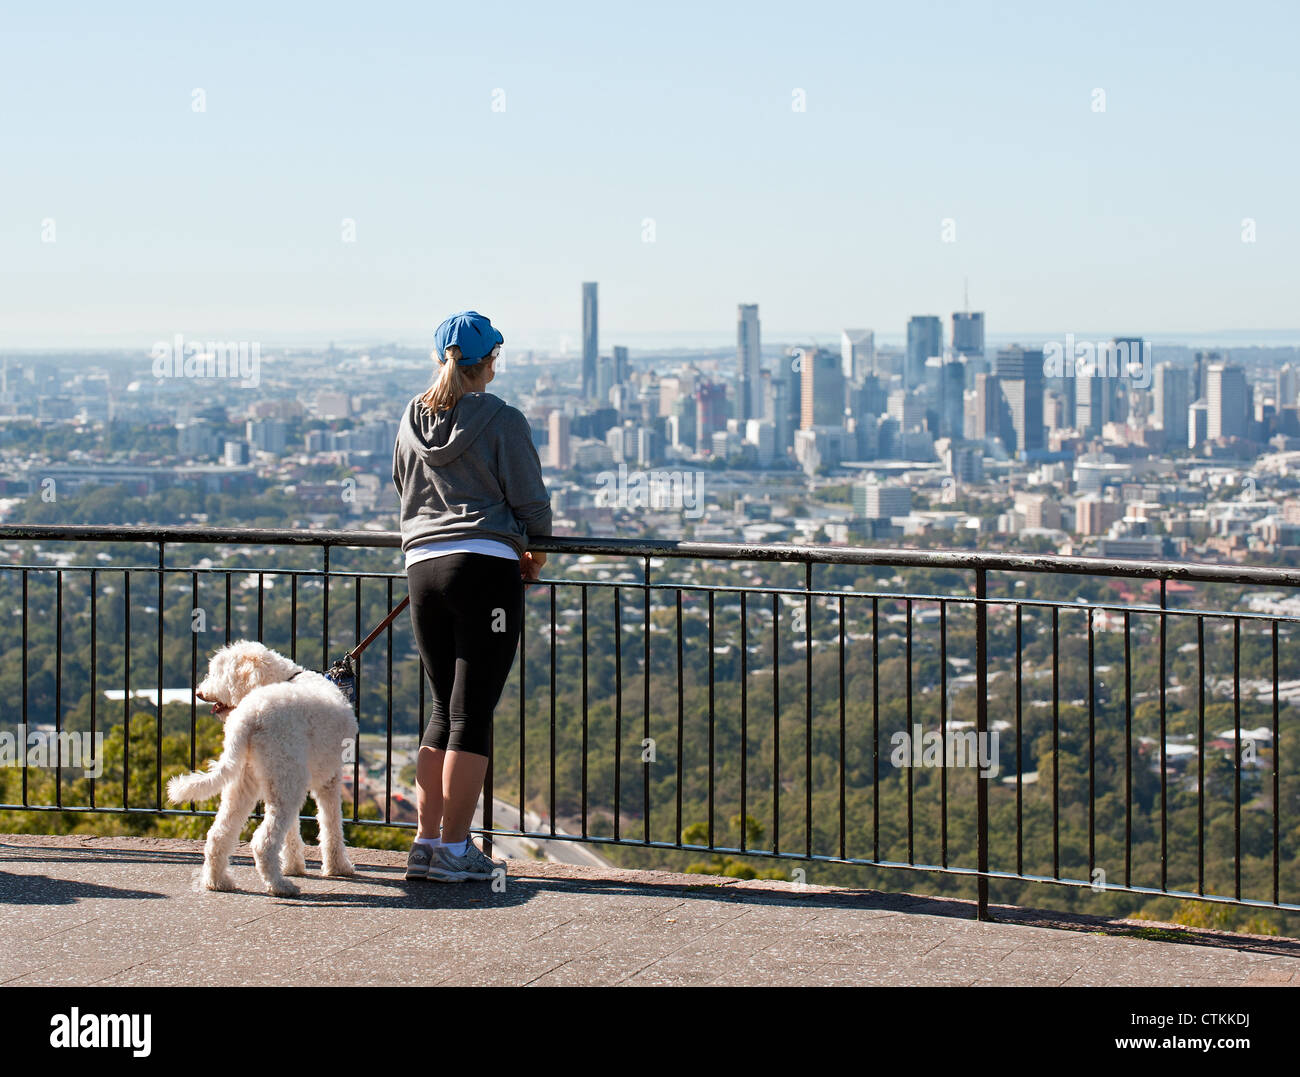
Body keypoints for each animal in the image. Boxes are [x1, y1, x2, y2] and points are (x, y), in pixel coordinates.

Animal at [170, 642, 361, 894]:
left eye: (220, 673)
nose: (199, 693)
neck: (286, 677)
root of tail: (250, 717)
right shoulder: (329, 780)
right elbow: (331, 823)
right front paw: (338, 866)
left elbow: (293, 831)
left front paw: (293, 866)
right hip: (285, 783)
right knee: (263, 841)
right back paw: (280, 885)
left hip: (249, 783)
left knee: (219, 834)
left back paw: (218, 881)